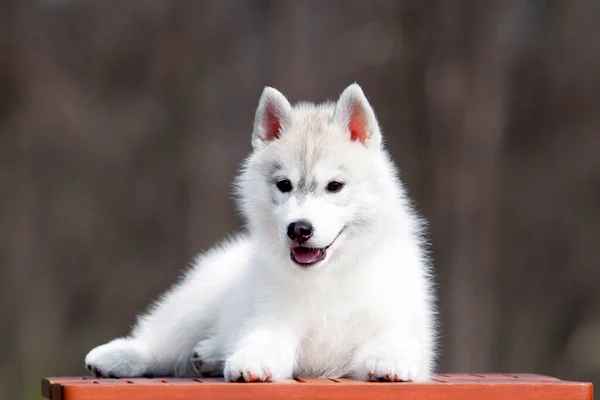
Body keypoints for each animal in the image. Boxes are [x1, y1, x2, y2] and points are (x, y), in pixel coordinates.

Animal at [84, 83, 438, 382]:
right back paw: (119, 356)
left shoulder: (393, 319)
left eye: (335, 186)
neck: (327, 276)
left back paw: (209, 354)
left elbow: (398, 340)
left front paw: (391, 359)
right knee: (162, 341)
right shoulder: (272, 319)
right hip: (198, 301)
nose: (299, 229)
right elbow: (262, 340)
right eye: (284, 185)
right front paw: (251, 360)